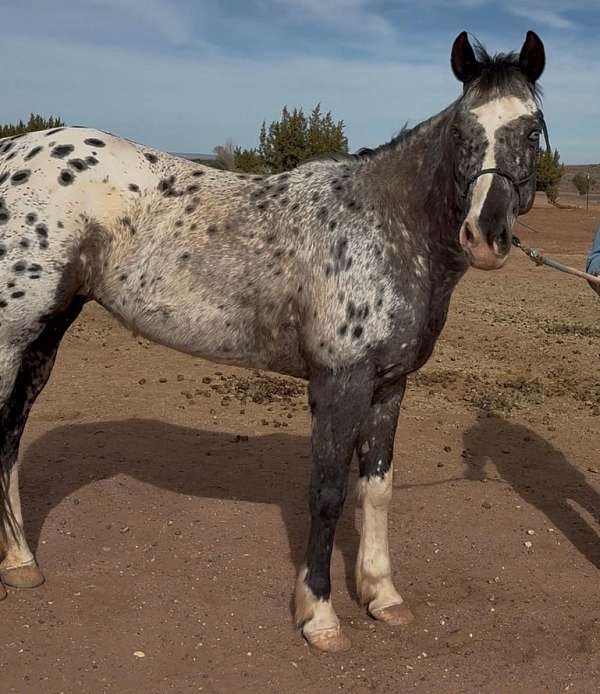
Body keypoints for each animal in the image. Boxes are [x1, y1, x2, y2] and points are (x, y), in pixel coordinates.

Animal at [0, 30, 546, 652]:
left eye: (533, 130)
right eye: (460, 131)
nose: (486, 235)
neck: (387, 225)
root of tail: (14, 153)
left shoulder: (389, 386)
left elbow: (376, 488)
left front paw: (382, 595)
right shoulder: (339, 384)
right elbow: (328, 493)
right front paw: (320, 616)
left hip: (44, 336)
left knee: (10, 439)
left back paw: (21, 564)